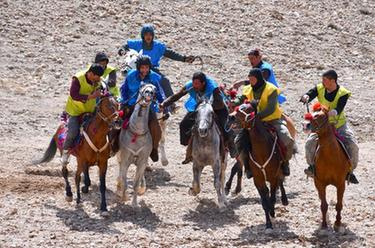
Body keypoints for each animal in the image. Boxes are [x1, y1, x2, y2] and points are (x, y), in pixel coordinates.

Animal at [232, 101, 290, 230]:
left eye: (248, 109)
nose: (231, 116)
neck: (261, 152)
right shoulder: (258, 180)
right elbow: (264, 202)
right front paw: (268, 223)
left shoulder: (273, 177)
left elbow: (273, 198)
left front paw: (272, 212)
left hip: (279, 170)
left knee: (281, 180)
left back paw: (284, 200)